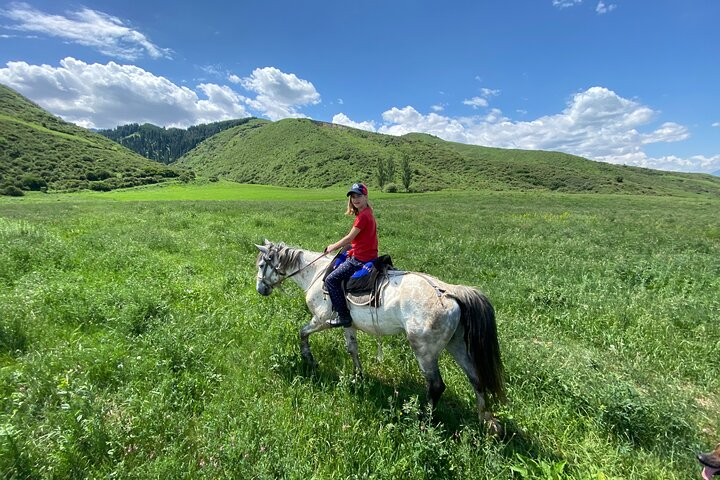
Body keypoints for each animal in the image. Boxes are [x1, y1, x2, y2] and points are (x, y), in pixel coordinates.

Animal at [256, 240, 504, 432]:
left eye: (261, 264)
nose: (260, 289)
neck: (316, 274)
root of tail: (450, 292)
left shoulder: (321, 320)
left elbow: (302, 333)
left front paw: (309, 359)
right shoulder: (348, 323)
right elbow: (352, 349)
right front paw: (358, 377)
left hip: (424, 350)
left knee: (436, 386)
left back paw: (425, 421)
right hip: (457, 345)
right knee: (476, 378)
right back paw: (486, 420)